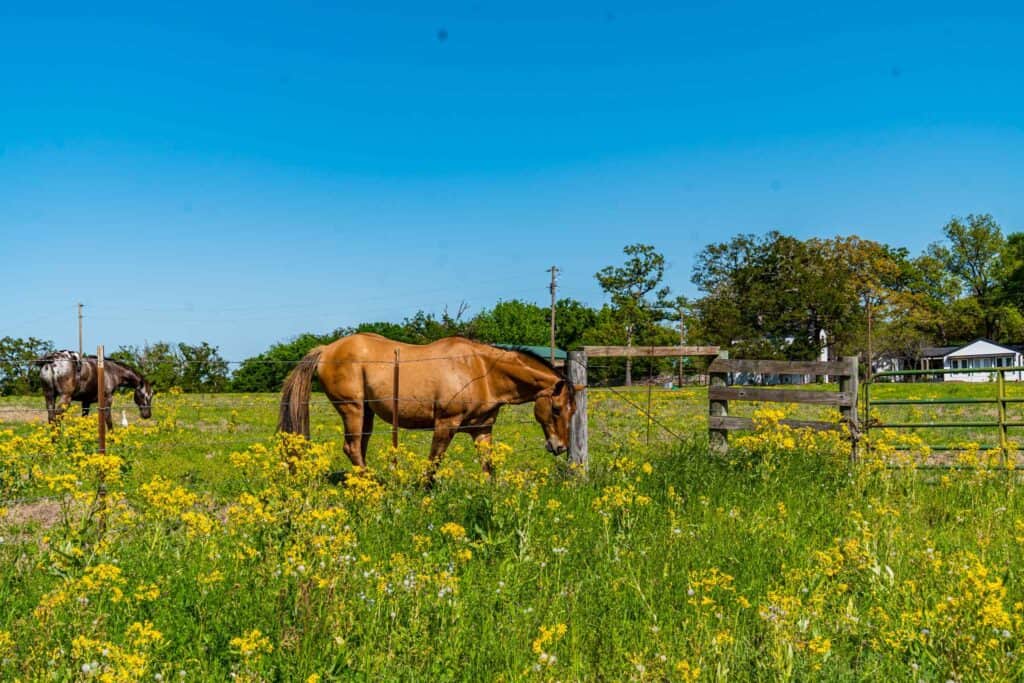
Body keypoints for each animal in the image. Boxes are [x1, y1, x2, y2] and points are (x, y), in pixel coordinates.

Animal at [280, 333, 581, 483]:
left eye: (573, 412)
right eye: (556, 409)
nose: (560, 447)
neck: (481, 370)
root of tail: (326, 349)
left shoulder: (482, 429)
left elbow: (488, 466)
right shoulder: (445, 424)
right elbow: (434, 462)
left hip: (366, 413)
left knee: (359, 448)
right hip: (352, 409)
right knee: (352, 448)